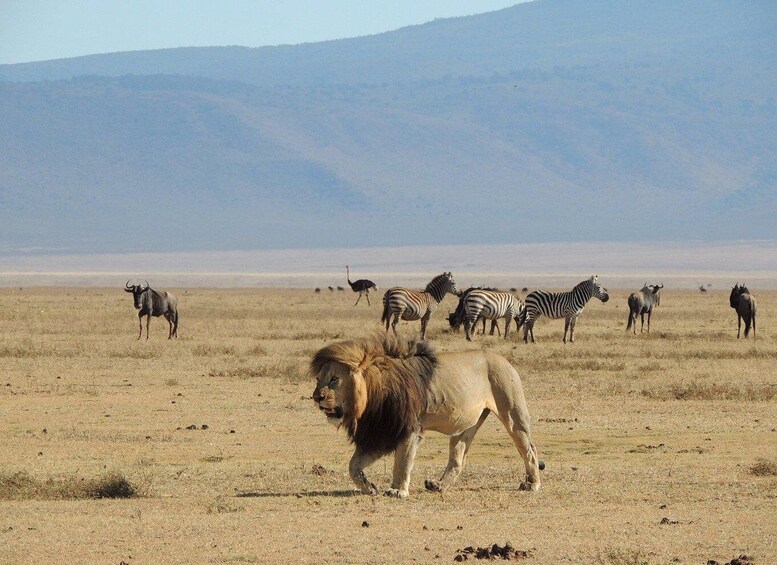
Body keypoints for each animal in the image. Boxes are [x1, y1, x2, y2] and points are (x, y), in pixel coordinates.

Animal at [311, 334, 543, 498]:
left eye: (334, 379)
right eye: (318, 380)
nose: (316, 397)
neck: (372, 393)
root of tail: (503, 359)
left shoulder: (409, 429)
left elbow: (402, 461)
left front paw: (397, 490)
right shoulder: (380, 433)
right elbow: (353, 467)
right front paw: (370, 488)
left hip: (512, 413)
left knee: (529, 449)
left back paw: (532, 483)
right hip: (466, 425)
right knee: (458, 458)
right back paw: (438, 485)